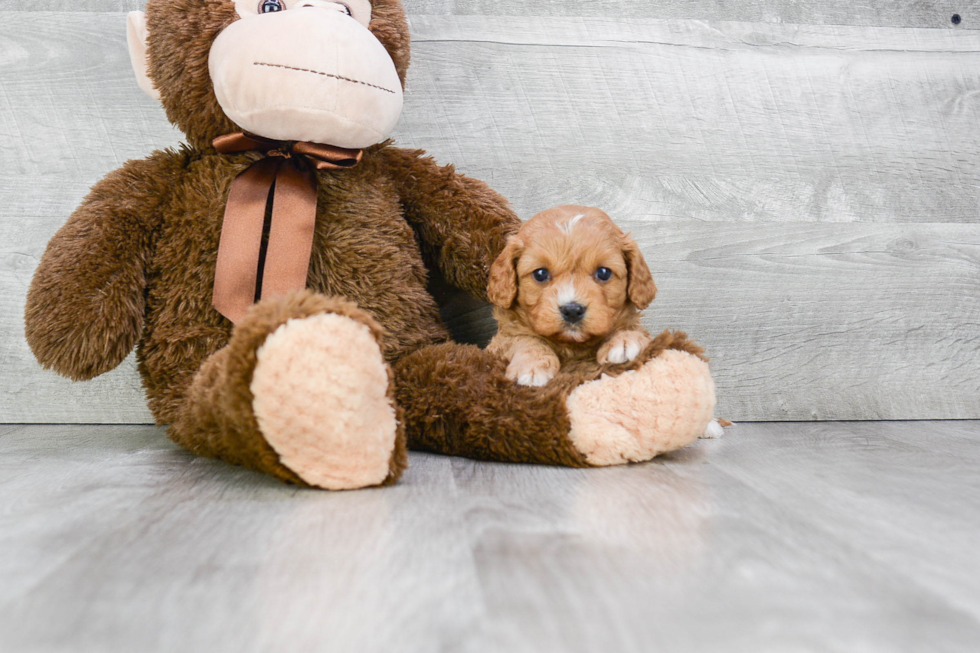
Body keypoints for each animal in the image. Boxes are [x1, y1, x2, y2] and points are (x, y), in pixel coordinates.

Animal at [486, 206, 656, 384]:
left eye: (604, 272)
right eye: (540, 274)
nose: (572, 310)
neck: (572, 345)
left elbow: (631, 328)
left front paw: (625, 339)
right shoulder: (499, 342)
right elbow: (524, 339)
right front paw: (532, 365)